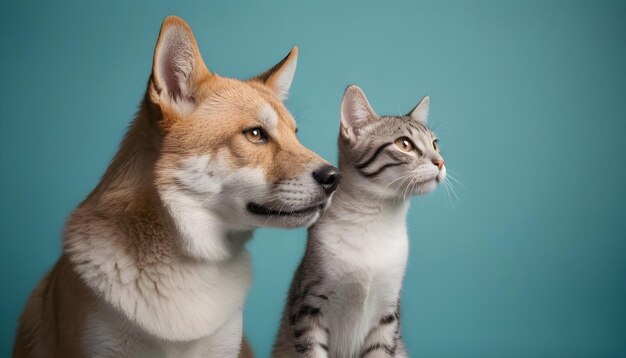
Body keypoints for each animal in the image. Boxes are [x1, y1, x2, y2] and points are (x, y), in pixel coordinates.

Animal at [272, 85, 444, 356]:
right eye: (404, 144)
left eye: (435, 144)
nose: (441, 161)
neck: (374, 219)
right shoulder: (309, 308)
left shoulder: (388, 312)